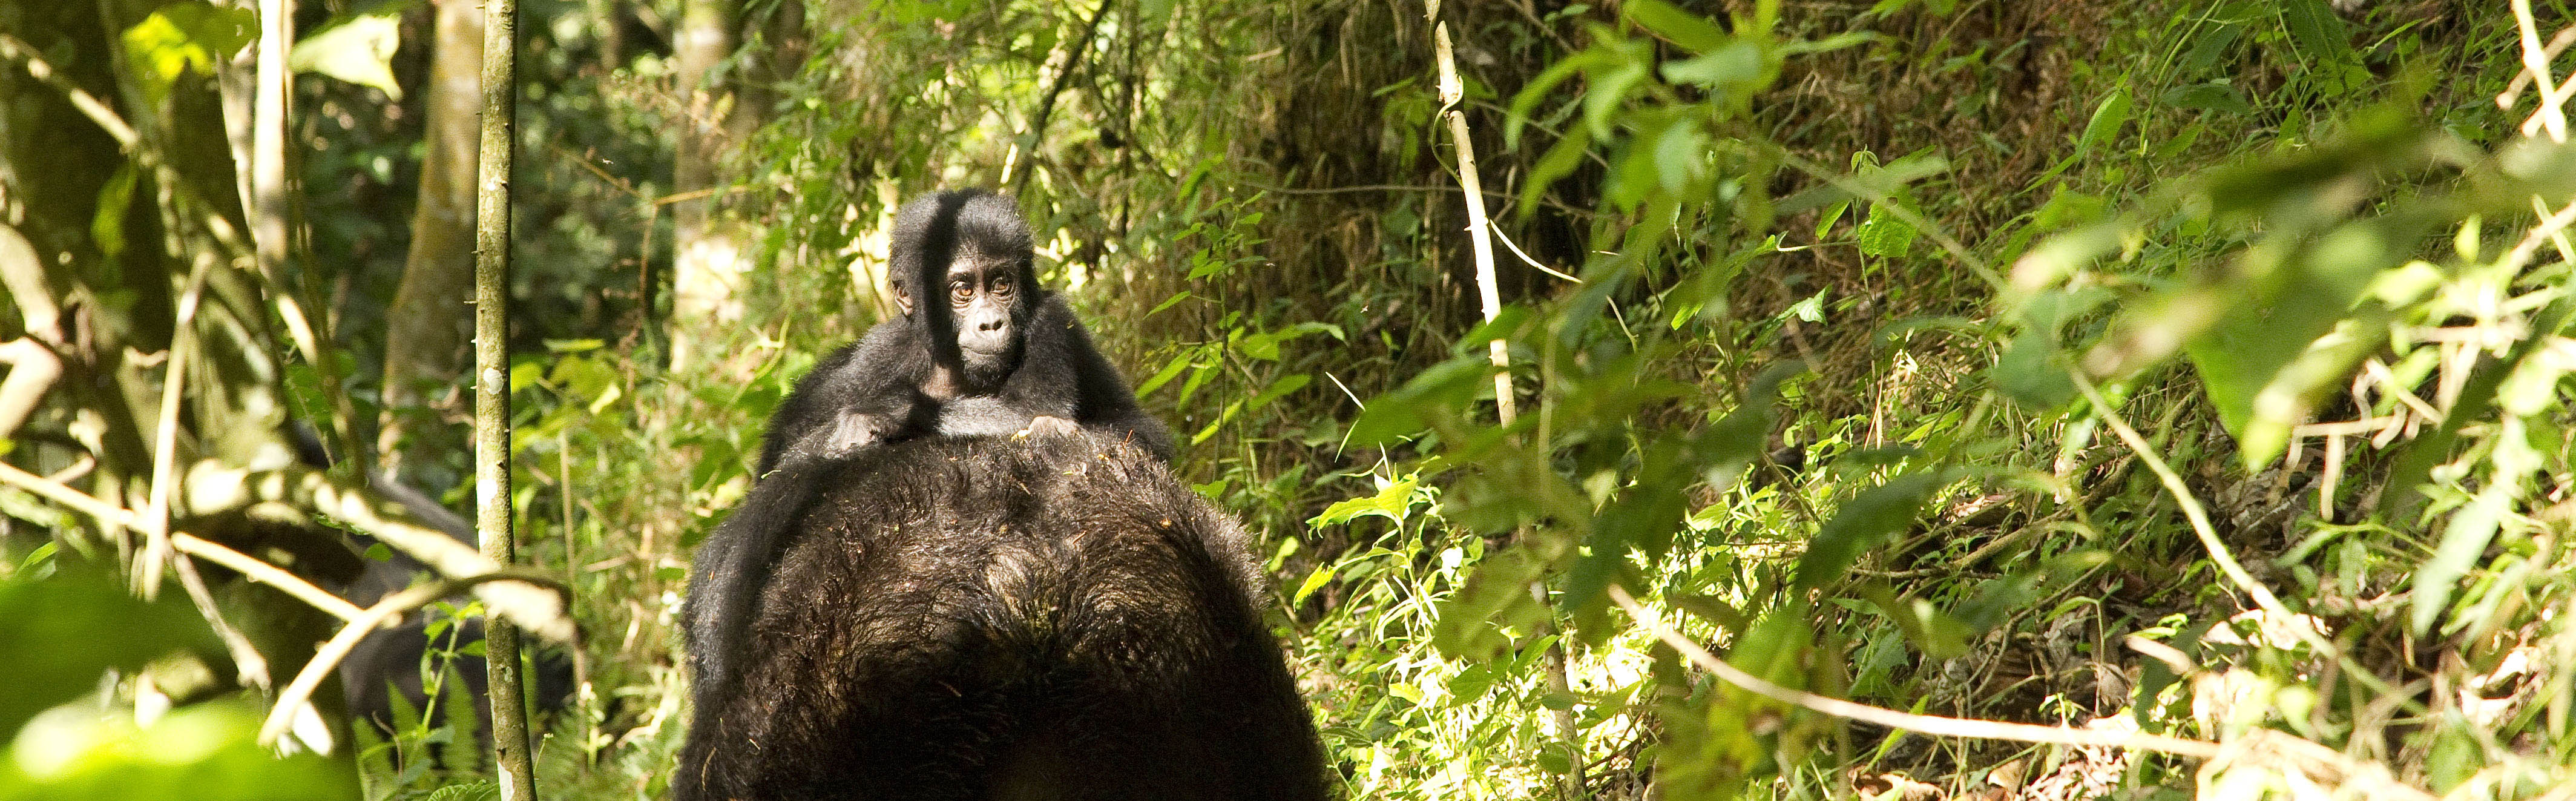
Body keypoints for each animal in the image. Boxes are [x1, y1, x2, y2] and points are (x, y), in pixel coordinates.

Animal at [757, 189, 1174, 476]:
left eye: (1001, 284)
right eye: (963, 290)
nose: (990, 322)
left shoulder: (1049, 321)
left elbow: (1035, 413)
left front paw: (890, 411)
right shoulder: (876, 358)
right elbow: (786, 444)